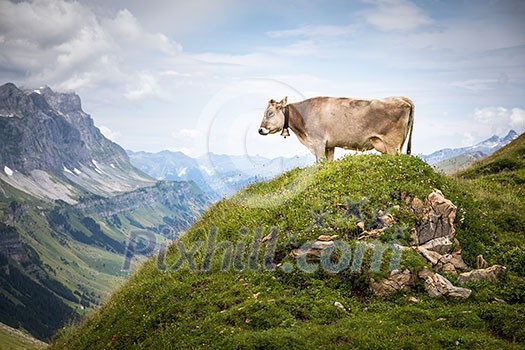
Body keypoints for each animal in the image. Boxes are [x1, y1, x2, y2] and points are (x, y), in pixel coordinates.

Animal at [258, 95, 414, 161]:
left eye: (270, 113)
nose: (260, 130)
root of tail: (402, 98)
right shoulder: (329, 145)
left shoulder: (318, 142)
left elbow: (319, 164)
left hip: (393, 144)